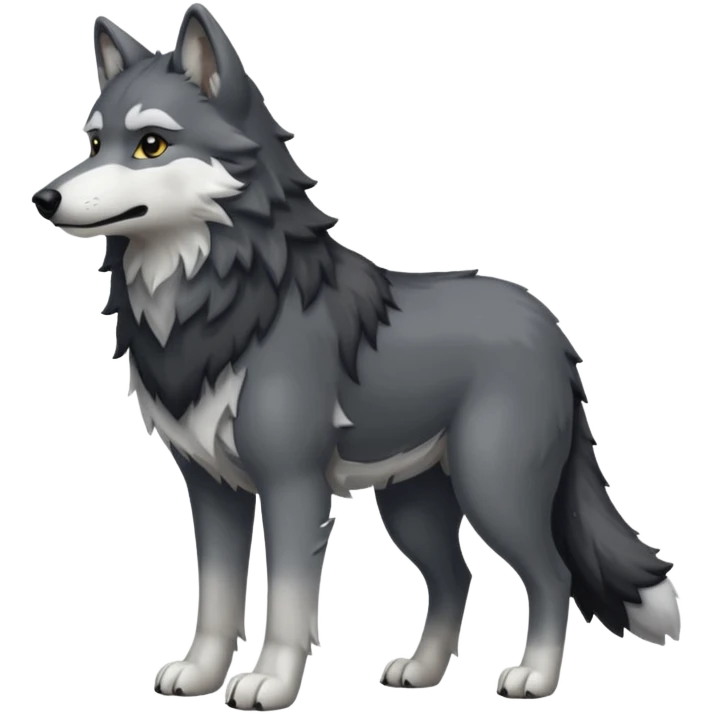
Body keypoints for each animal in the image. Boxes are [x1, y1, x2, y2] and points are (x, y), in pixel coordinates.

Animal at [32, 4, 681, 710]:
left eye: (150, 144)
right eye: (93, 144)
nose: (43, 199)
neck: (220, 302)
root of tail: (553, 329)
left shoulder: (292, 485)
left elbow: (289, 601)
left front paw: (270, 681)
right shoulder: (212, 487)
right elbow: (217, 598)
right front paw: (200, 674)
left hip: (493, 489)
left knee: (551, 574)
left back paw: (532, 677)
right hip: (413, 504)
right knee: (456, 578)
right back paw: (420, 672)